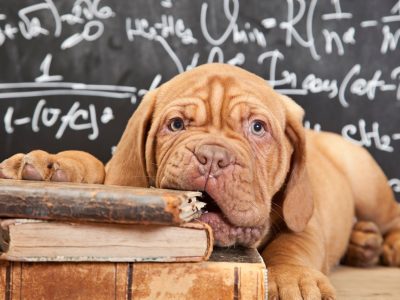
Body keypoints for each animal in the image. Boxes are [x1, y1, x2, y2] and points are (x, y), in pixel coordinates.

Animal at [0, 63, 400, 298]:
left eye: (258, 128)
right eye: (176, 124)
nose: (212, 157)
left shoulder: (305, 218)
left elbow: (294, 244)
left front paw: (292, 279)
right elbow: (95, 167)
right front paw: (50, 166)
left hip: (368, 185)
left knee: (390, 213)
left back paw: (382, 243)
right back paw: (363, 243)